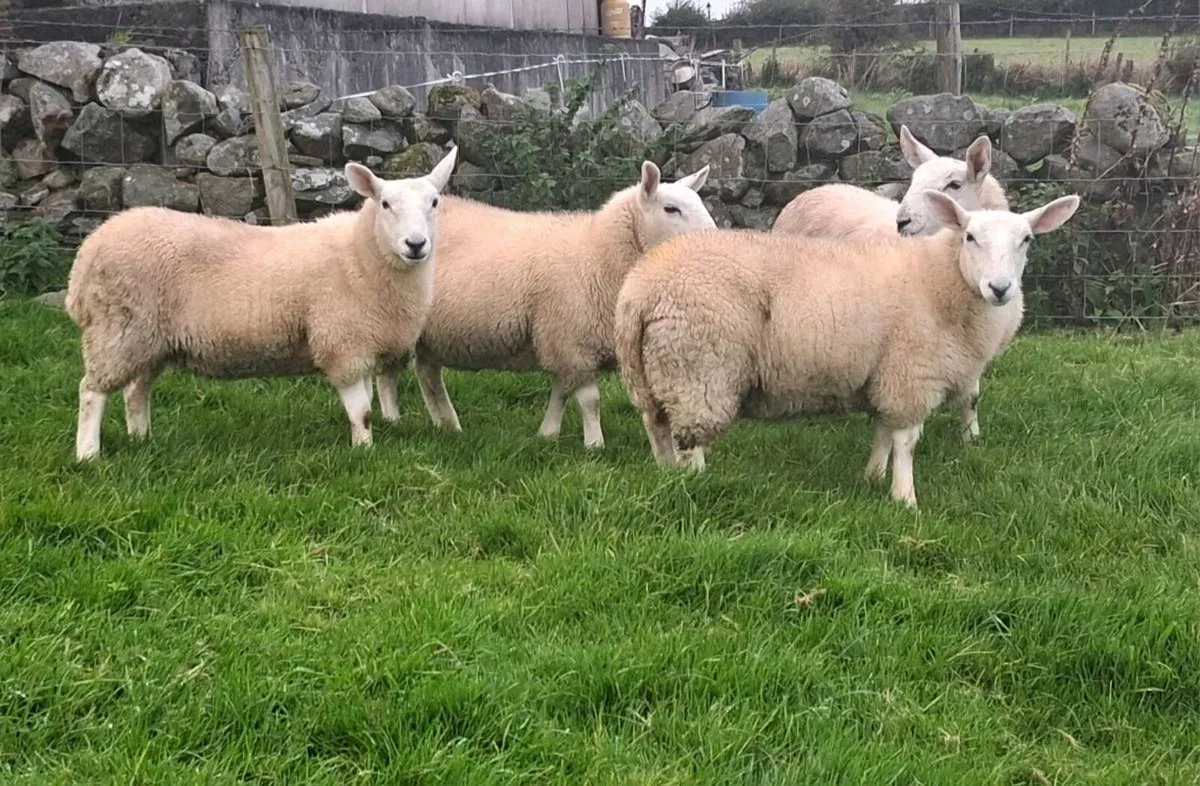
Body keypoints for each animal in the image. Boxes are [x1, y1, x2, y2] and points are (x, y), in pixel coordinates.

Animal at [65, 147, 458, 461]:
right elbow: (362, 411)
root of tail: (89, 251)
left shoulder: (361, 344)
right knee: (91, 391)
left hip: (150, 339)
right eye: (386, 204)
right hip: (117, 330)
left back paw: (141, 438)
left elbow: (368, 404)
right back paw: (88, 454)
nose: (415, 244)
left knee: (136, 391)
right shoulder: (342, 343)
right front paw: (364, 451)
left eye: (435, 203)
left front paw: (365, 445)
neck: (361, 255)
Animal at [372, 160, 715, 449]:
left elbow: (560, 392)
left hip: (431, 334)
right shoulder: (572, 340)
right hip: (396, 316)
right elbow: (590, 400)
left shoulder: (561, 341)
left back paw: (447, 424)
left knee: (427, 374)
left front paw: (547, 433)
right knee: (389, 373)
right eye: (671, 208)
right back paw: (393, 419)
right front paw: (595, 445)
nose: (713, 238)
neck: (598, 253)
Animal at [614, 190, 1081, 507]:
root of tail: (641, 289)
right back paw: (696, 482)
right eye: (969, 237)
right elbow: (906, 440)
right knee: (690, 440)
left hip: (652, 372)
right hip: (698, 368)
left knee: (657, 429)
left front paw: (873, 476)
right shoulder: (911, 373)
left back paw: (666, 473)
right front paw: (905, 498)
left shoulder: (886, 373)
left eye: (1026, 240)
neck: (941, 279)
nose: (1000, 288)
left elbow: (883, 431)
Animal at [773, 127, 1012, 443]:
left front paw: (971, 437)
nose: (903, 221)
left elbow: (971, 396)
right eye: (912, 180)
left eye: (954, 184)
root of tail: (812, 191)